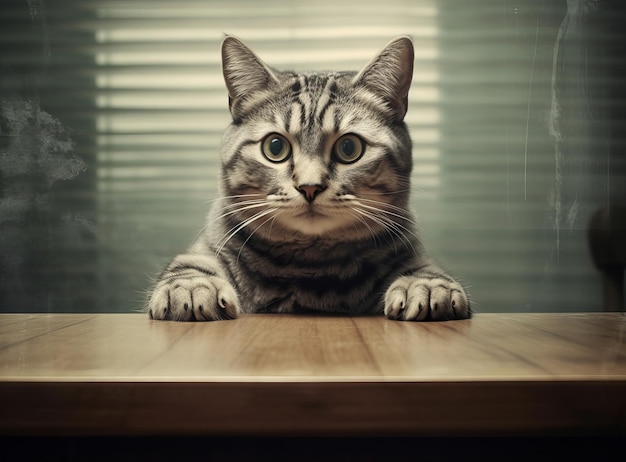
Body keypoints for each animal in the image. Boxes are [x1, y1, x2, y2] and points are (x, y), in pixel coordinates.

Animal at [146, 35, 468, 322]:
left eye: (349, 148)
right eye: (275, 147)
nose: (310, 187)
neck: (307, 267)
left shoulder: (411, 250)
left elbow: (424, 269)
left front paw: (425, 285)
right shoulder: (207, 246)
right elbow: (189, 265)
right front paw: (191, 288)